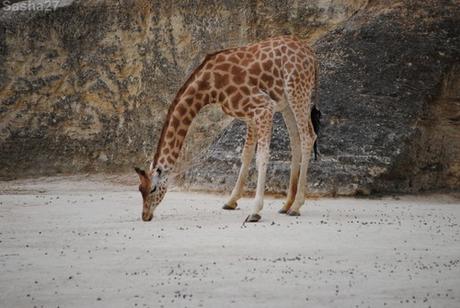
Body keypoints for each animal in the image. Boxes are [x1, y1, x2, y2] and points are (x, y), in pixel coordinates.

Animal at [135, 36, 318, 223]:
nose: (145, 215)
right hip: (286, 102)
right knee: (296, 141)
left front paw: (255, 211)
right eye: (140, 189)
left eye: (153, 189)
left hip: (298, 91)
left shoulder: (263, 106)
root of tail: (311, 54)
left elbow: (262, 155)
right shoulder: (249, 116)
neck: (209, 87)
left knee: (308, 137)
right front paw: (231, 201)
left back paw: (296, 206)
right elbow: (246, 154)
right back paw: (287, 204)